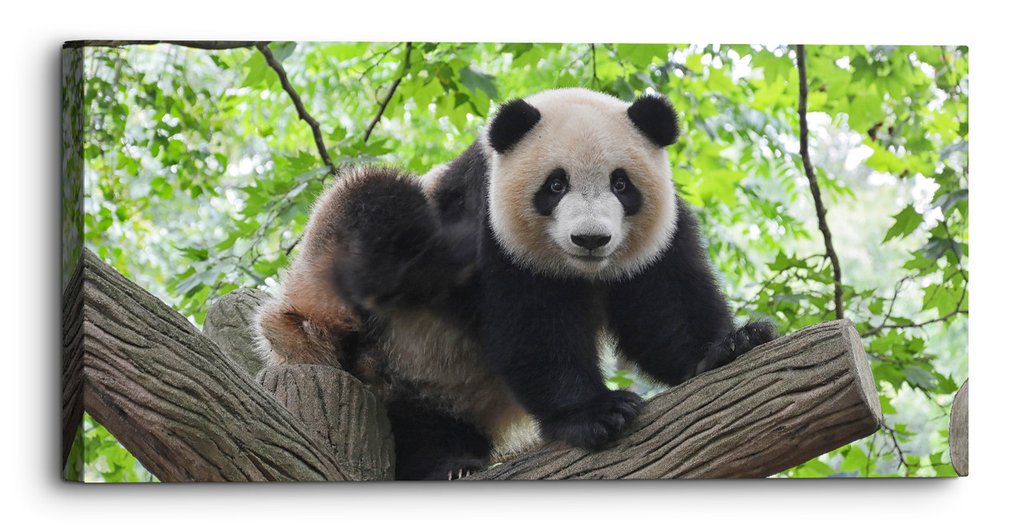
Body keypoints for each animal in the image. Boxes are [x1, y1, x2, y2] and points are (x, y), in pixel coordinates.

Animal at [255, 87, 776, 480]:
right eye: (556, 185)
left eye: (621, 184)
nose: (591, 239)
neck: (580, 272)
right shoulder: (491, 230)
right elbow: (532, 328)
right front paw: (597, 413)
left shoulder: (657, 238)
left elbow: (664, 309)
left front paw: (731, 344)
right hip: (356, 319)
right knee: (375, 201)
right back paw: (447, 466)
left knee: (426, 423)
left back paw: (452, 459)